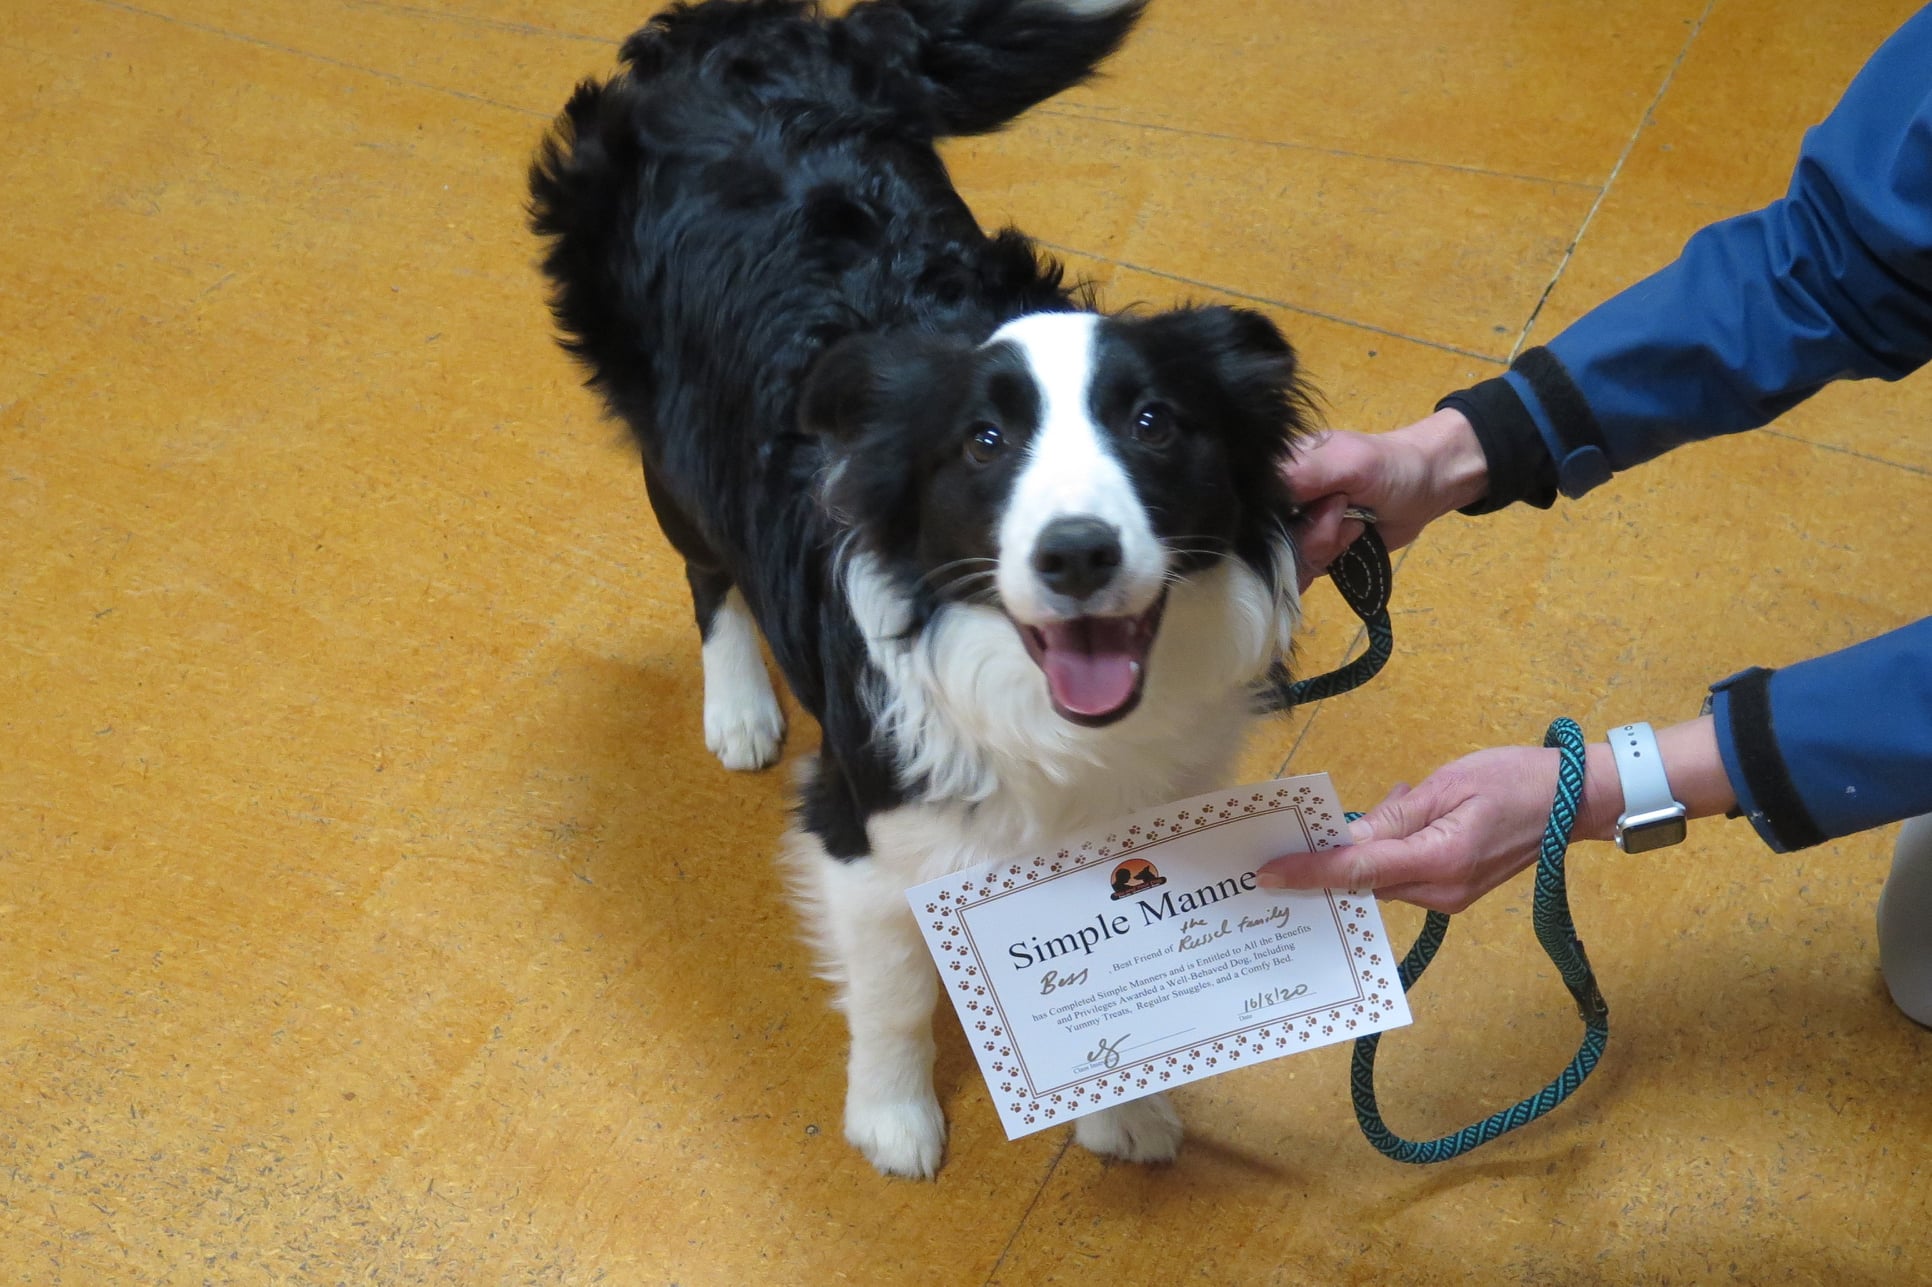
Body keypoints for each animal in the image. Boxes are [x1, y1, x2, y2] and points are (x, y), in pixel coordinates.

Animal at [529, 0, 1313, 1174]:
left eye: (1153, 423)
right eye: (984, 442)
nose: (1076, 554)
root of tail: (723, 33)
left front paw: (1121, 1106)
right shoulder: (866, 816)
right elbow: (893, 989)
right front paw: (894, 1117)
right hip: (671, 451)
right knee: (708, 568)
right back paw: (739, 708)